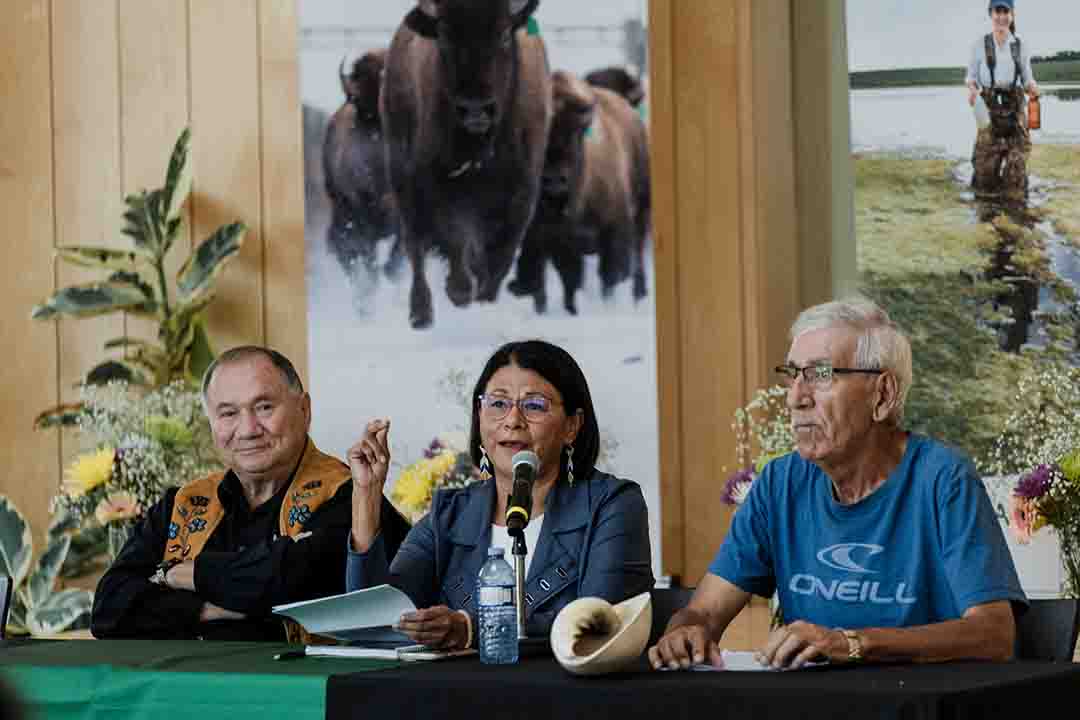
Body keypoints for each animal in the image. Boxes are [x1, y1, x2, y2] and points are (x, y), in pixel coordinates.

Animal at [382, 0, 548, 330]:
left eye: (503, 34)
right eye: (444, 37)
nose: (475, 108)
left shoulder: (522, 195)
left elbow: (499, 260)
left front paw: (483, 297)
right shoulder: (439, 188)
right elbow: (454, 240)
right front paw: (458, 291)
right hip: (402, 180)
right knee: (415, 245)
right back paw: (421, 314)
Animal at [505, 69, 648, 313]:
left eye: (575, 133)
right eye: (539, 136)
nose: (554, 178)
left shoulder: (614, 230)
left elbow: (609, 278)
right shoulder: (557, 241)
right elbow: (570, 281)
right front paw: (571, 311)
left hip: (641, 215)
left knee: (637, 260)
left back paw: (639, 296)